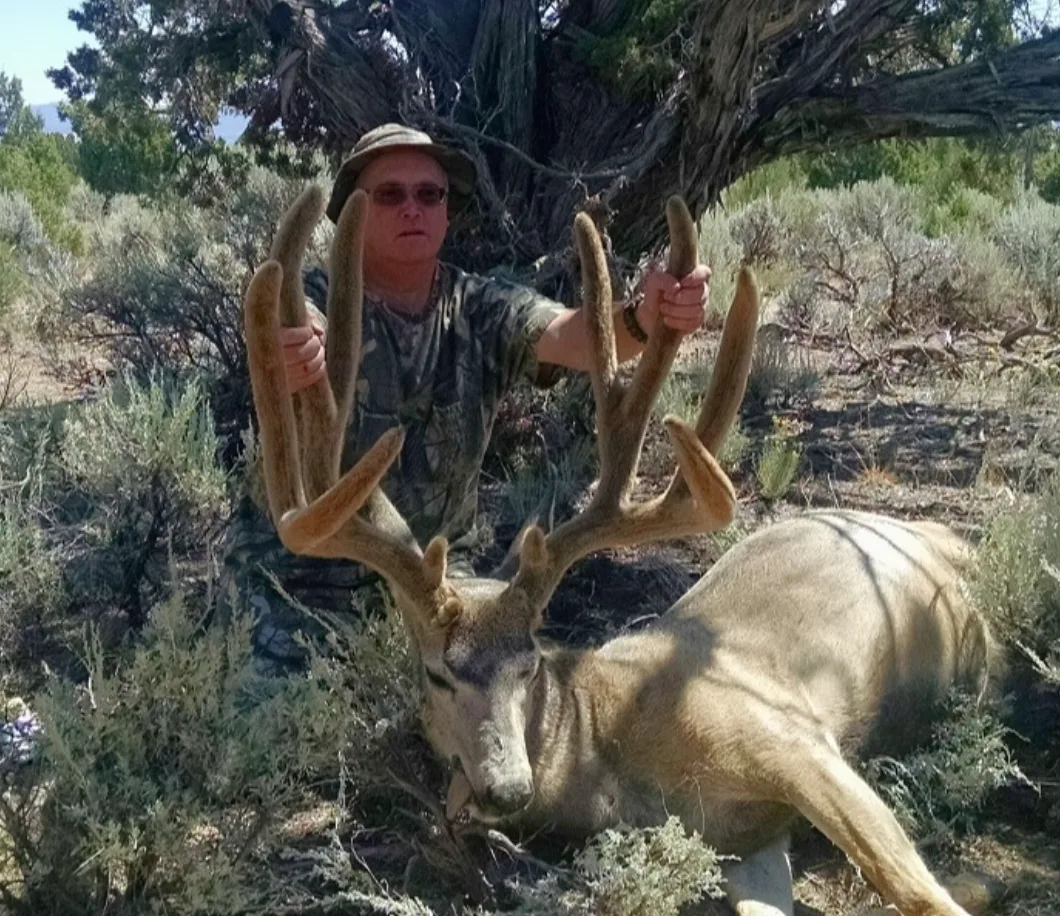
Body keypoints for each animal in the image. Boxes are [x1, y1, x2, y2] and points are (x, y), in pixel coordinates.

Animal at [243, 186, 987, 916]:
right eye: (437, 675)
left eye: (529, 666)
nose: (507, 789)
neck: (612, 757)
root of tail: (944, 537)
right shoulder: (745, 842)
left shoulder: (787, 733)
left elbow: (914, 889)